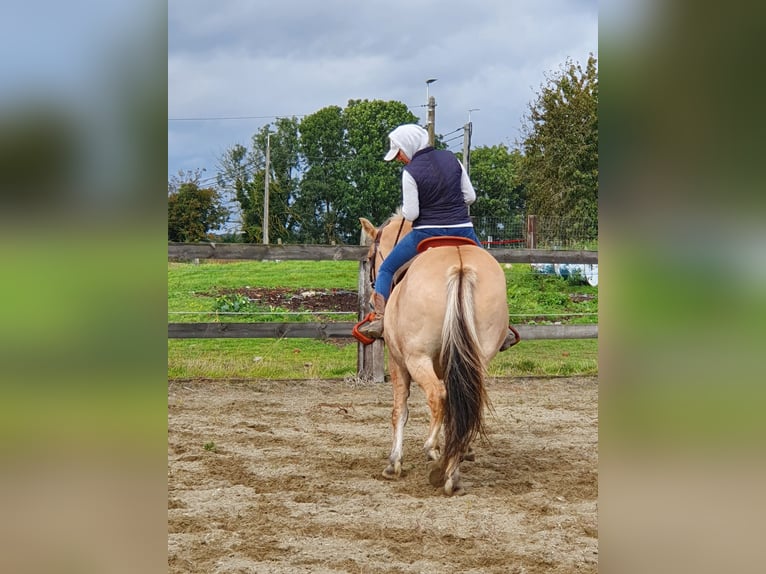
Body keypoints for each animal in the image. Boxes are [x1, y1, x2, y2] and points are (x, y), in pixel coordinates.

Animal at [358, 214, 512, 498]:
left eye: (372, 255)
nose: (373, 300)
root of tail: (460, 267)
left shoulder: (397, 362)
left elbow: (399, 410)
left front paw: (394, 463)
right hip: (476, 360)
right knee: (467, 402)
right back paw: (452, 470)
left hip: (417, 359)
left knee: (437, 395)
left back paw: (432, 450)